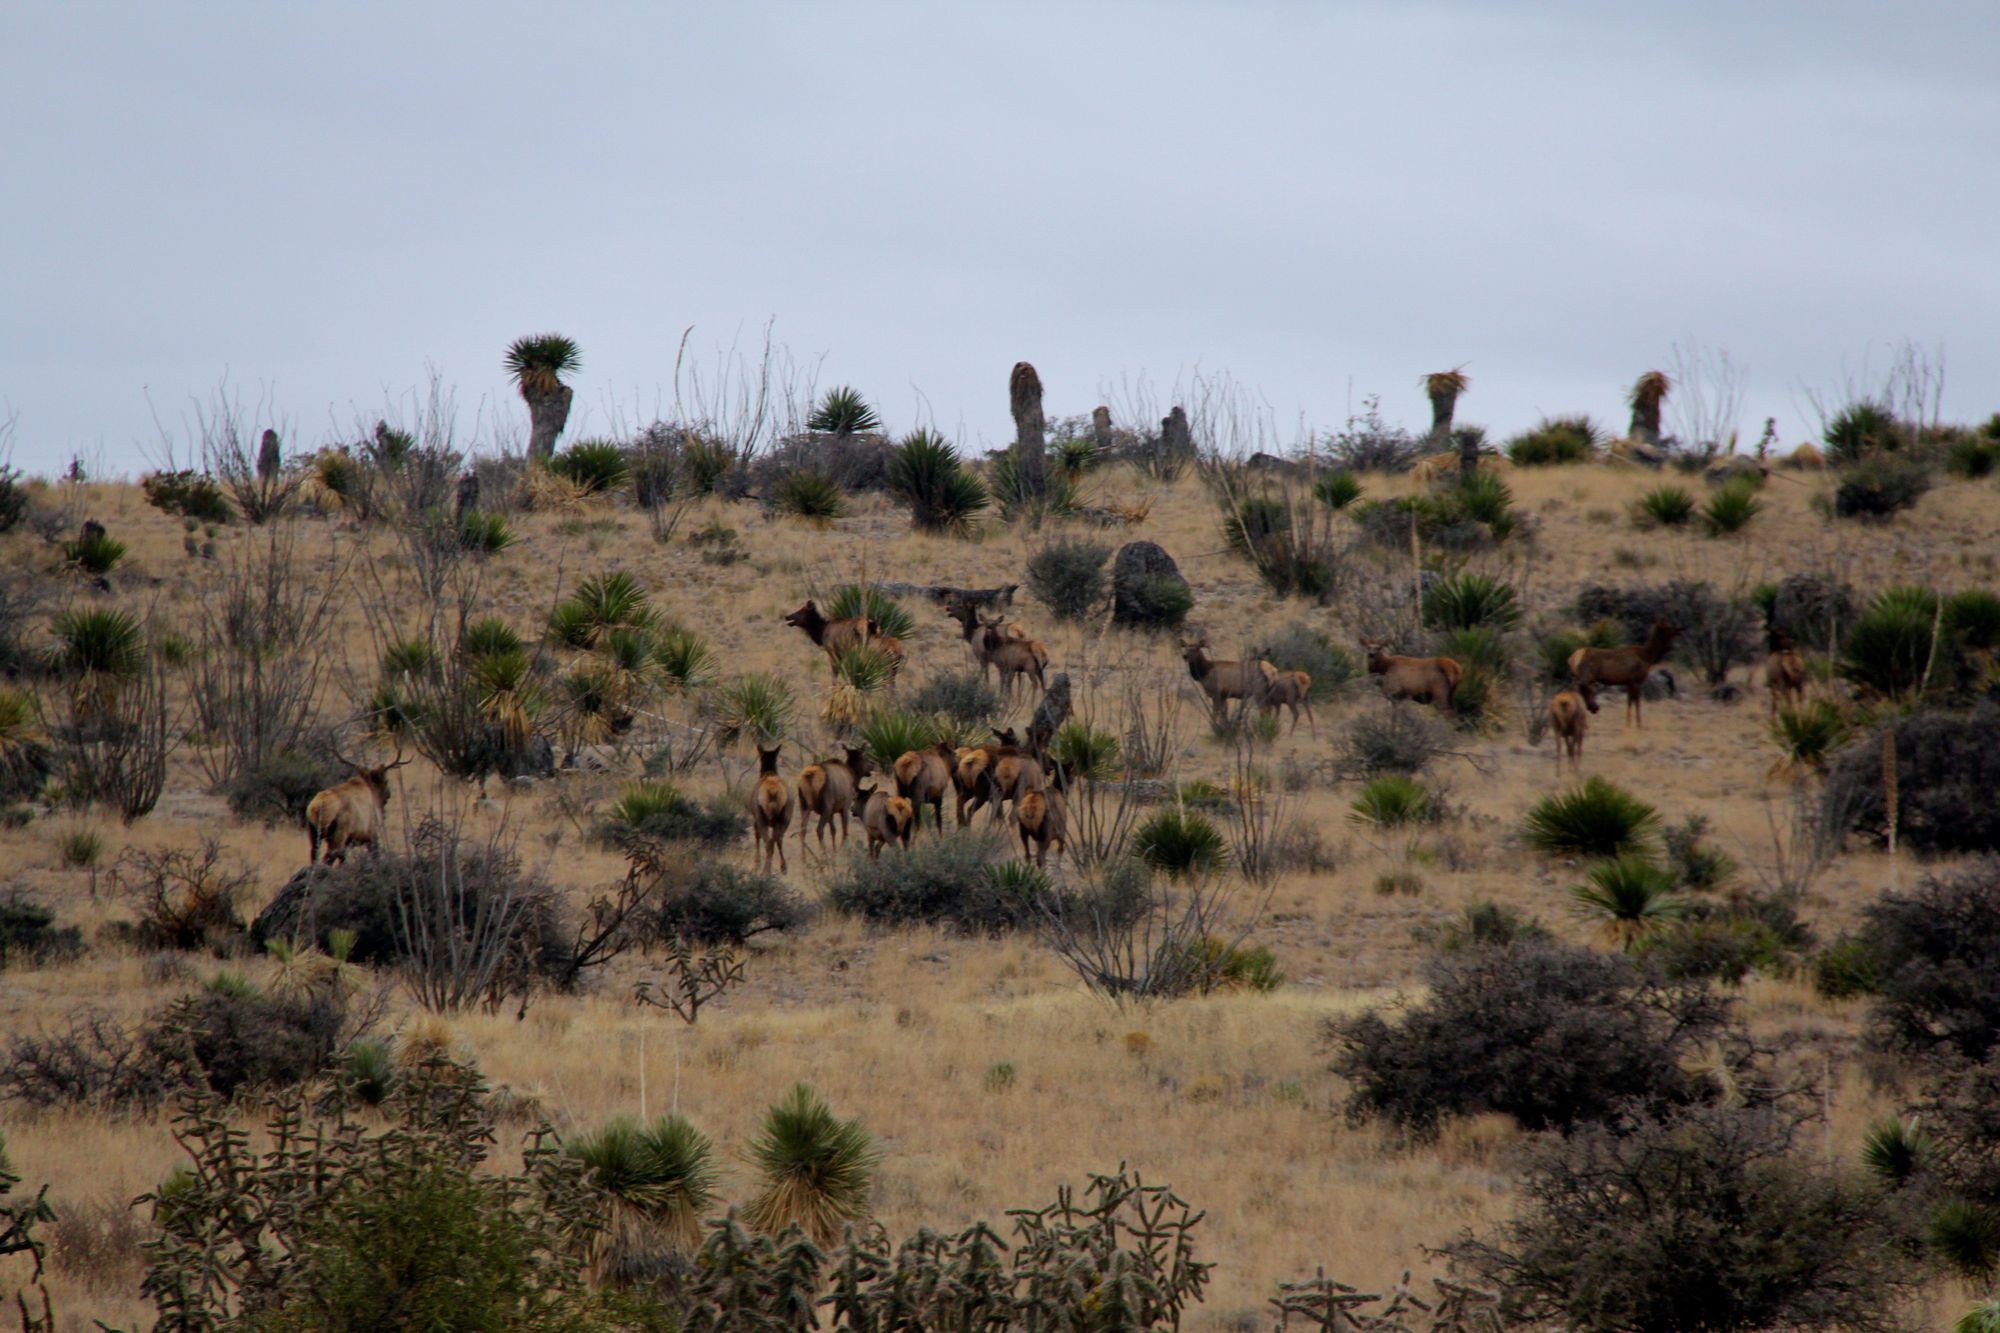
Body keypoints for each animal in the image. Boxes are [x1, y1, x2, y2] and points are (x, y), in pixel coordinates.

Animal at [751, 744, 793, 874]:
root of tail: (773, 791)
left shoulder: (755, 818)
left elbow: (757, 836)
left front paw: (756, 865)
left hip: (762, 817)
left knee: (769, 842)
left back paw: (765, 871)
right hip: (784, 817)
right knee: (777, 840)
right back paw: (782, 867)